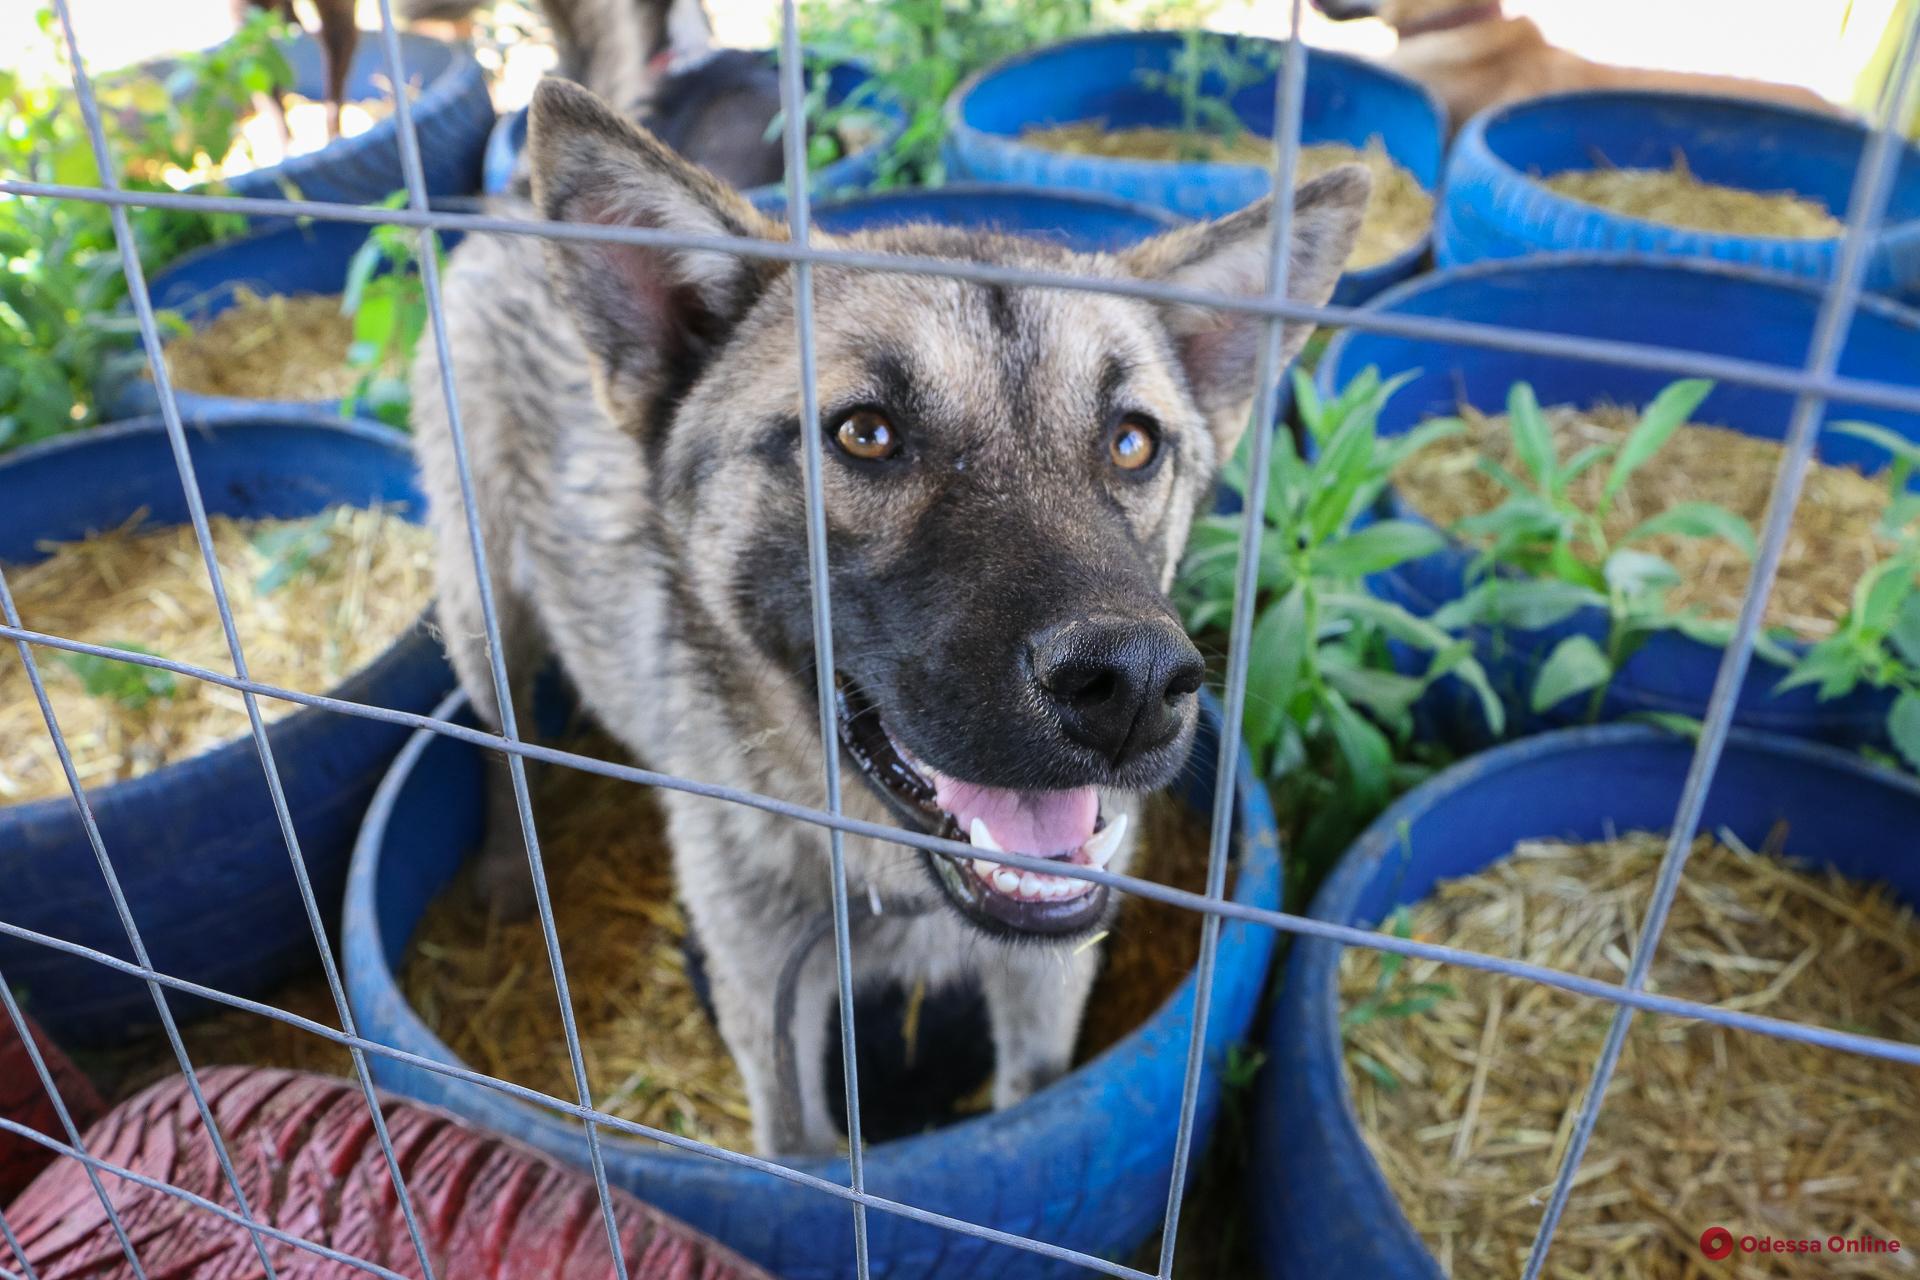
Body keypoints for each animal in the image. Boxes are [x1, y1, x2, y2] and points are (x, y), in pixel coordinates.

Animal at [410, 75, 1359, 1159]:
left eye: (1132, 442)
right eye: (866, 433)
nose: (1133, 687)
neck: (884, 866)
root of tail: (505, 210)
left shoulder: (1044, 994)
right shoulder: (770, 1020)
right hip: (483, 614)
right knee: (502, 742)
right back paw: (505, 865)